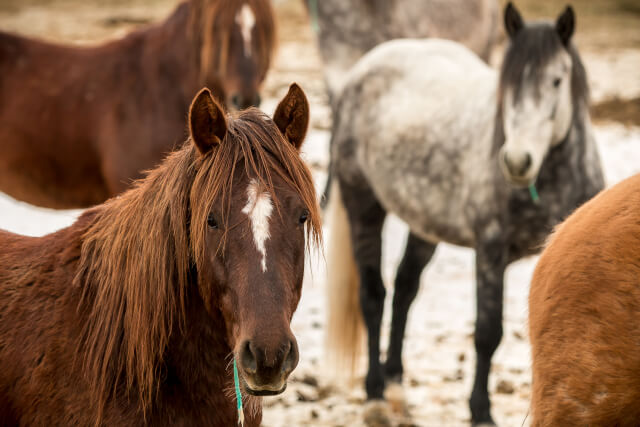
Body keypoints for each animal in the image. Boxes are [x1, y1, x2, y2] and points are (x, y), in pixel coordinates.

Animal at [328, 4, 604, 427]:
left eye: (557, 81)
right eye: (508, 85)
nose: (517, 161)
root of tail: (362, 70)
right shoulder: (490, 252)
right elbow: (488, 333)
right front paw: (481, 411)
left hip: (424, 223)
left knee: (404, 289)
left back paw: (395, 385)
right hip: (363, 205)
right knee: (373, 295)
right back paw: (375, 395)